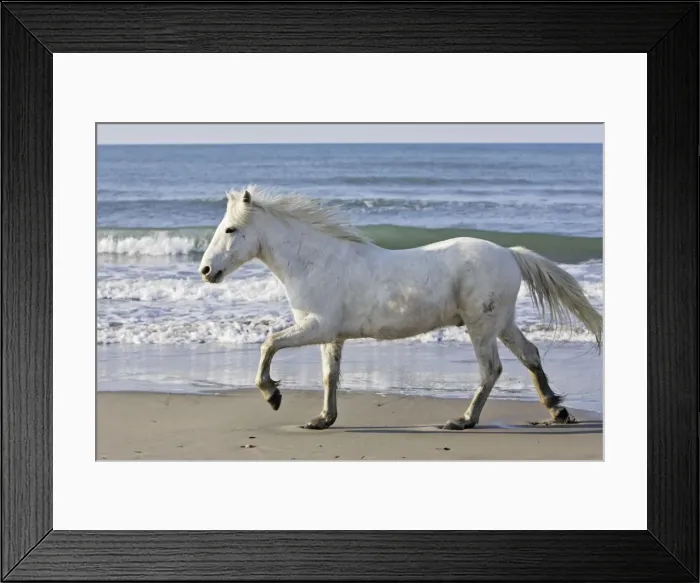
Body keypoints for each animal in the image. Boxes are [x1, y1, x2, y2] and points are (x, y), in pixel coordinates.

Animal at [199, 186, 602, 431]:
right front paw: (322, 419)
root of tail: (509, 253)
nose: (205, 270)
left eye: (231, 229)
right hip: (502, 322)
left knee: (491, 369)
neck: (315, 261)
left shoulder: (318, 326)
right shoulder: (332, 335)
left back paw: (463, 420)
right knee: (530, 354)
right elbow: (330, 375)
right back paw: (557, 410)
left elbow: (269, 343)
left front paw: (272, 395)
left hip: (481, 325)